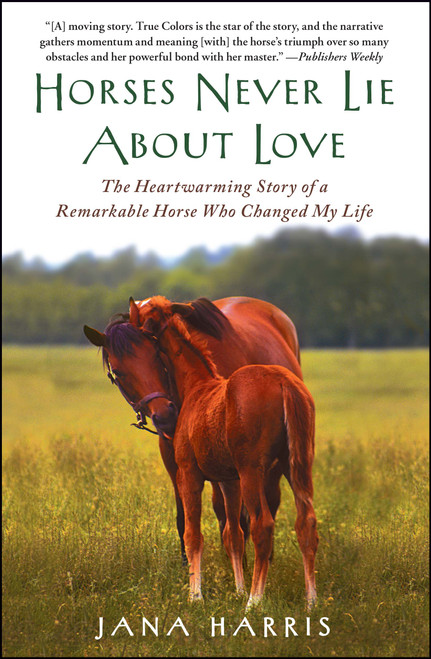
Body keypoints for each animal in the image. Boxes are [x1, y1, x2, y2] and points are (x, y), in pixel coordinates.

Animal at [85, 296, 318, 609]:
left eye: (155, 357)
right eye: (119, 373)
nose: (164, 416)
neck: (198, 385)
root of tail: (284, 383)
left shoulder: (190, 473)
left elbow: (194, 532)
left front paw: (196, 594)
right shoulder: (227, 479)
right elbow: (231, 532)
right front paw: (236, 587)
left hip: (254, 472)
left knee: (264, 524)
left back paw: (255, 600)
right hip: (297, 467)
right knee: (305, 523)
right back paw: (311, 600)